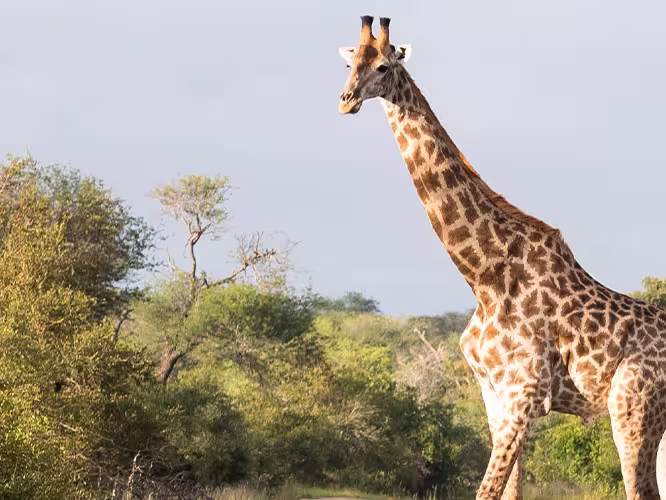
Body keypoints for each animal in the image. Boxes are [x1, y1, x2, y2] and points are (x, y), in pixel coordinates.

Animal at [337, 16, 666, 500]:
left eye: (382, 66)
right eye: (349, 64)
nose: (346, 102)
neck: (485, 275)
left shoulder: (524, 394)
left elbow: (488, 490)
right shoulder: (493, 396)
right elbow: (507, 491)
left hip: (633, 409)